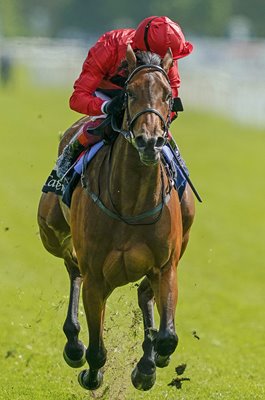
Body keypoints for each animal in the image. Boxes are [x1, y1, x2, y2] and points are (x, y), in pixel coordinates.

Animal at [37, 43, 194, 390]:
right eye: (130, 92)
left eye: (167, 95)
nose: (150, 141)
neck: (131, 201)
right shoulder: (96, 276)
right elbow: (97, 348)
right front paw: (90, 372)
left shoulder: (167, 266)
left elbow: (168, 336)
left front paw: (150, 365)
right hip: (51, 234)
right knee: (72, 268)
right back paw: (73, 343)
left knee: (144, 294)